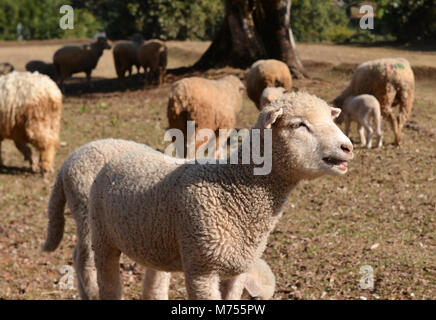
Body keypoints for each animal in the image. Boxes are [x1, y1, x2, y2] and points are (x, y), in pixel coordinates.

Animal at [88, 90, 354, 300]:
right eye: (299, 125)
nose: (348, 147)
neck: (232, 189)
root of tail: (124, 152)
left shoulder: (237, 271)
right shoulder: (201, 268)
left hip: (152, 240)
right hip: (102, 239)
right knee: (109, 286)